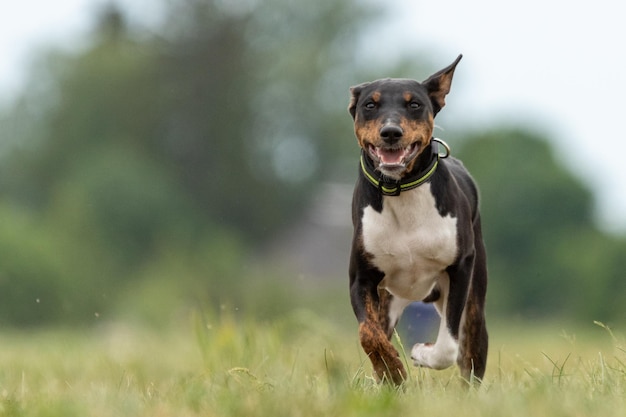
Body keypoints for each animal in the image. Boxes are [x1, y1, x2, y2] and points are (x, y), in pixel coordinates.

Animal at [346, 55, 488, 384]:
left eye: (414, 104)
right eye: (370, 105)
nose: (391, 132)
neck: (400, 191)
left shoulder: (460, 268)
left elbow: (448, 345)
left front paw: (421, 353)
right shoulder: (361, 278)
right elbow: (368, 334)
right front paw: (392, 369)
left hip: (474, 307)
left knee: (469, 360)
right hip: (388, 300)